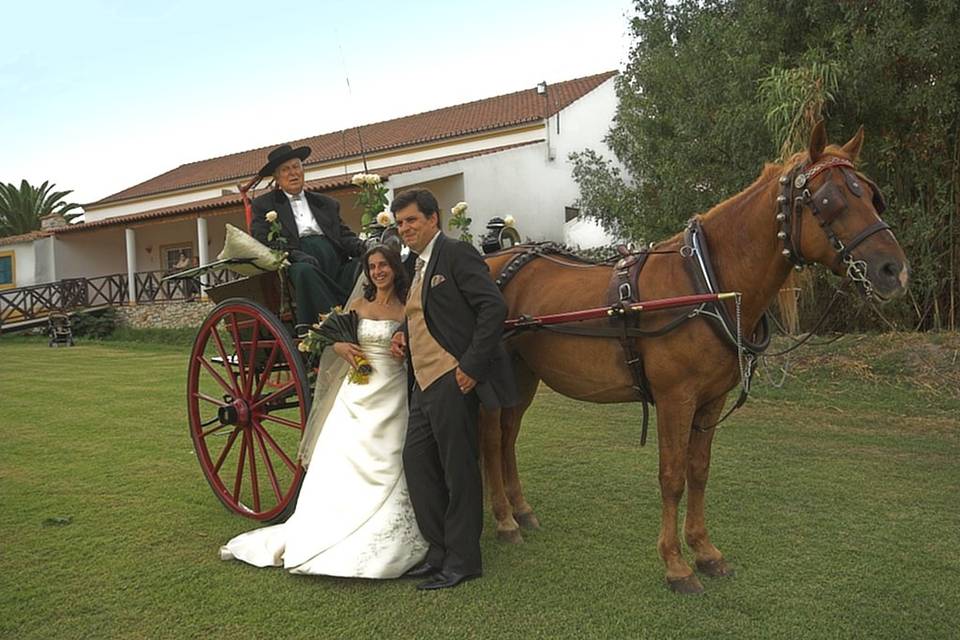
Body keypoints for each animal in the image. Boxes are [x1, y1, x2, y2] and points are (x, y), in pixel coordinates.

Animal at [480, 122, 908, 592]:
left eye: (872, 197)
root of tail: (495, 258)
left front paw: (705, 551)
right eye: (829, 200)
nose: (894, 270)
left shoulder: (710, 399)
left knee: (507, 437)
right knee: (491, 441)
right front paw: (675, 564)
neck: (705, 281)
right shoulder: (675, 399)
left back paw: (519, 511)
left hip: (523, 376)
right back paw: (503, 521)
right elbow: (672, 476)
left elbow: (699, 471)